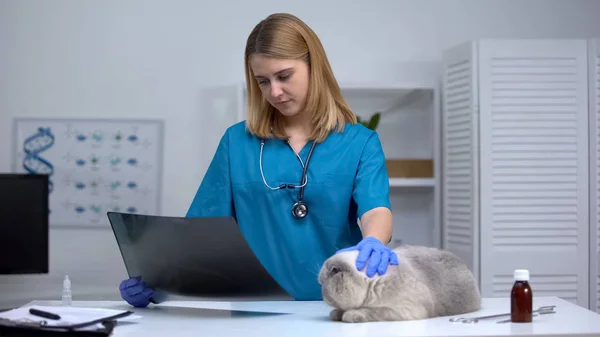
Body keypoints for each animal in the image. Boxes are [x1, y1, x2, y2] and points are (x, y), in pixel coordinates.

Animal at [316, 244, 480, 322]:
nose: (322, 292)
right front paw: (337, 313)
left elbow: (371, 311)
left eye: (324, 284)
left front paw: (350, 314)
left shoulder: (404, 310)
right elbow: (339, 311)